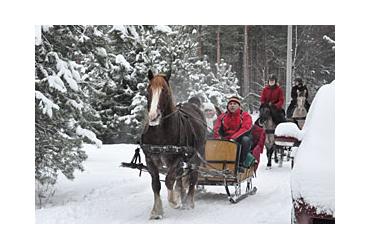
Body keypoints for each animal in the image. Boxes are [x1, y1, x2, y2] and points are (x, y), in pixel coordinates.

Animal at [141, 70, 207, 219]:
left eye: (165, 91)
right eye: (148, 91)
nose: (153, 116)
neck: (159, 135)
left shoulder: (177, 158)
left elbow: (169, 180)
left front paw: (174, 201)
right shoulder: (150, 159)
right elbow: (156, 184)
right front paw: (156, 211)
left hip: (197, 154)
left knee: (193, 176)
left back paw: (188, 202)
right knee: (182, 176)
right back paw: (182, 195)